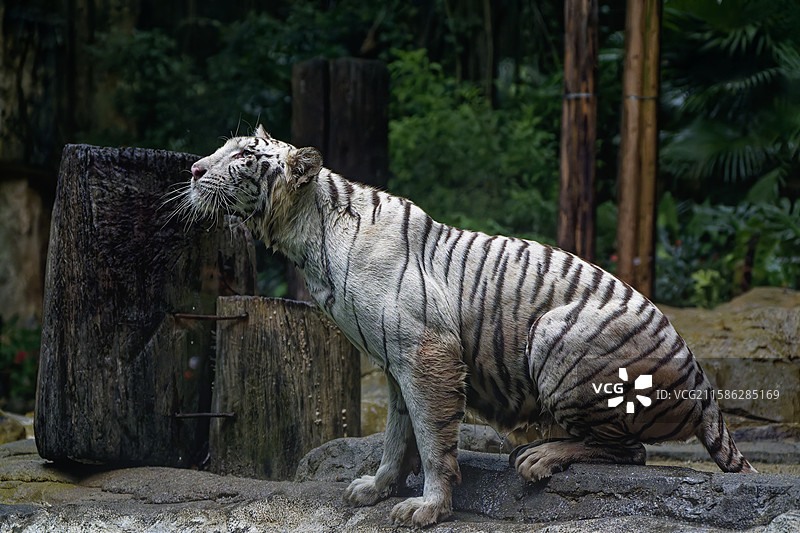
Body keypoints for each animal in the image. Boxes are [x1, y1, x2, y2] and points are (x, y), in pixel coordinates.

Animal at [174, 126, 756, 528]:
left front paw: (427, 508)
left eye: (243, 156)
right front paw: (377, 488)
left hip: (555, 336)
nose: (195, 170)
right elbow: (397, 434)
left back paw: (538, 455)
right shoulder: (395, 364)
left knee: (629, 451)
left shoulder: (425, 353)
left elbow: (432, 439)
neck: (306, 235)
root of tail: (701, 378)